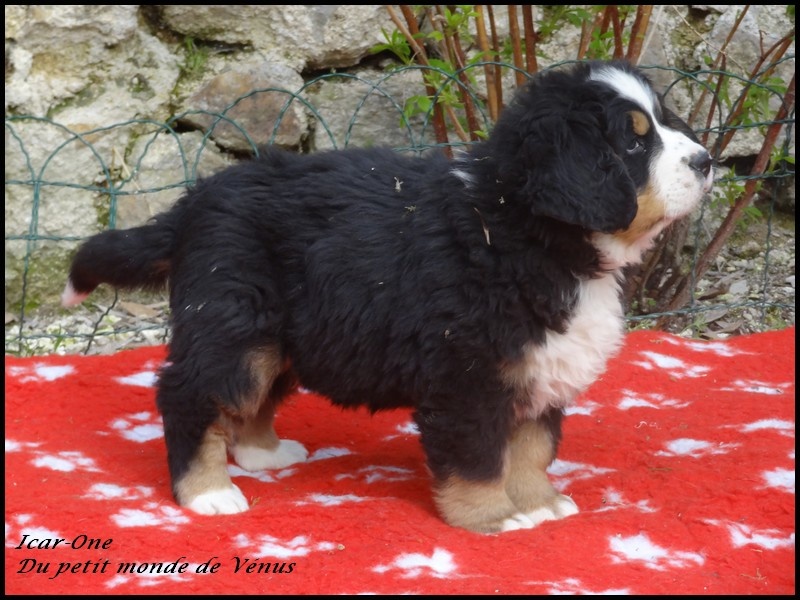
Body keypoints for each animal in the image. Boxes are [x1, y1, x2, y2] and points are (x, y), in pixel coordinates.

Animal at [62, 60, 713, 534]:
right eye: (633, 146)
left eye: (664, 121)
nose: (707, 160)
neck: (528, 231)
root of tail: (195, 202)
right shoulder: (468, 377)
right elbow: (479, 457)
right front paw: (493, 519)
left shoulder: (540, 368)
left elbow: (530, 447)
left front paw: (539, 503)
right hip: (234, 323)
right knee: (190, 395)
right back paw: (208, 491)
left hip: (285, 336)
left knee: (253, 398)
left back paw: (263, 455)